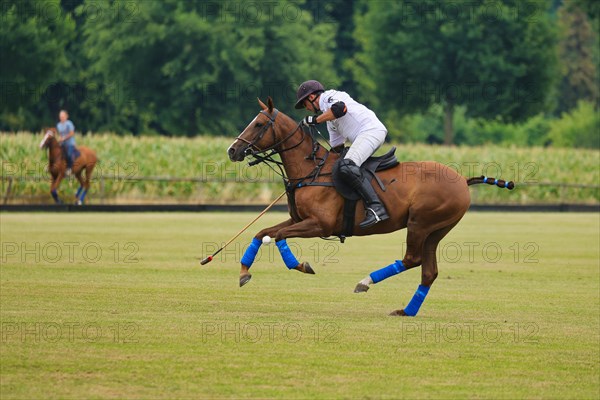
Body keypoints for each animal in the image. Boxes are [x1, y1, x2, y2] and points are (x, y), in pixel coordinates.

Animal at [227, 97, 512, 316]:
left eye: (259, 124)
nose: (232, 150)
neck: (311, 169)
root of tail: (463, 180)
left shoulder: (320, 224)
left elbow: (277, 237)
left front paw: (301, 266)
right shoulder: (299, 220)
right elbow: (262, 233)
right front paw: (243, 273)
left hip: (420, 223)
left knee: (412, 259)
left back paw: (365, 282)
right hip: (436, 230)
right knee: (428, 271)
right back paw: (406, 311)